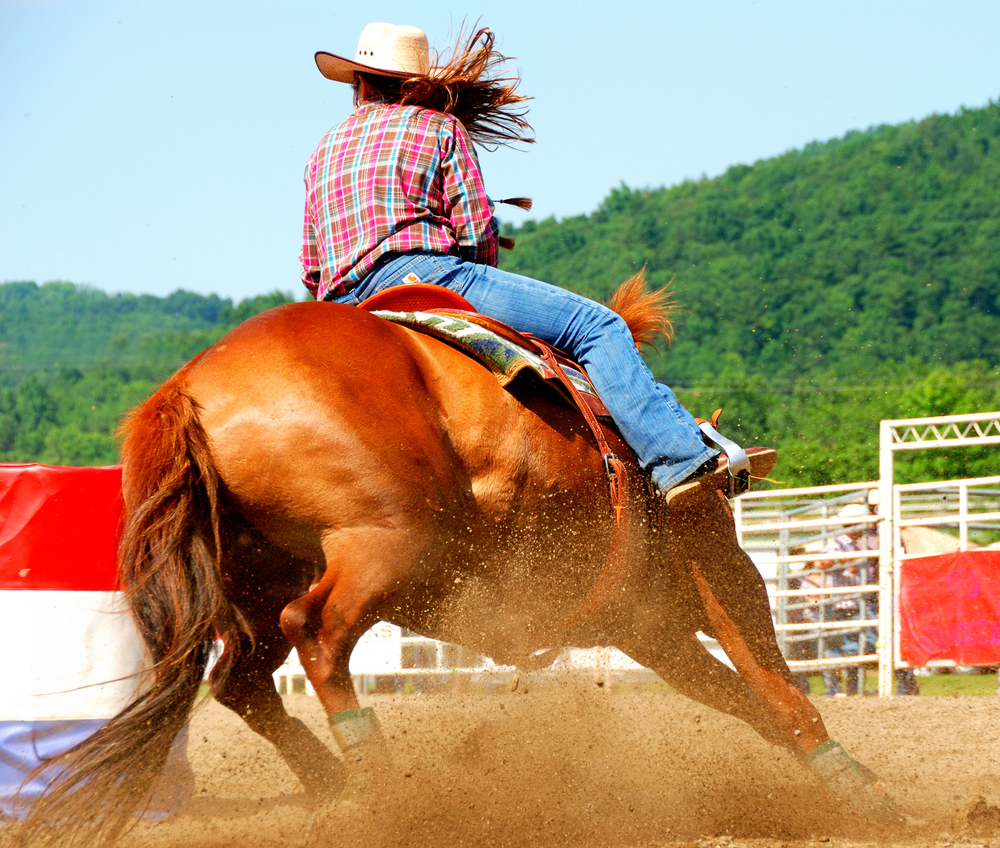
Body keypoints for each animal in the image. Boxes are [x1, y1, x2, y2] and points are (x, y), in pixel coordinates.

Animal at [21, 280, 884, 848]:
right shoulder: (715, 566)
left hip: (257, 584)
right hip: (382, 545)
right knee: (319, 635)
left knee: (241, 679)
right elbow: (772, 678)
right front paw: (862, 790)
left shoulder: (644, 625)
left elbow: (744, 697)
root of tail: (187, 388)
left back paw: (333, 786)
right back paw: (376, 789)